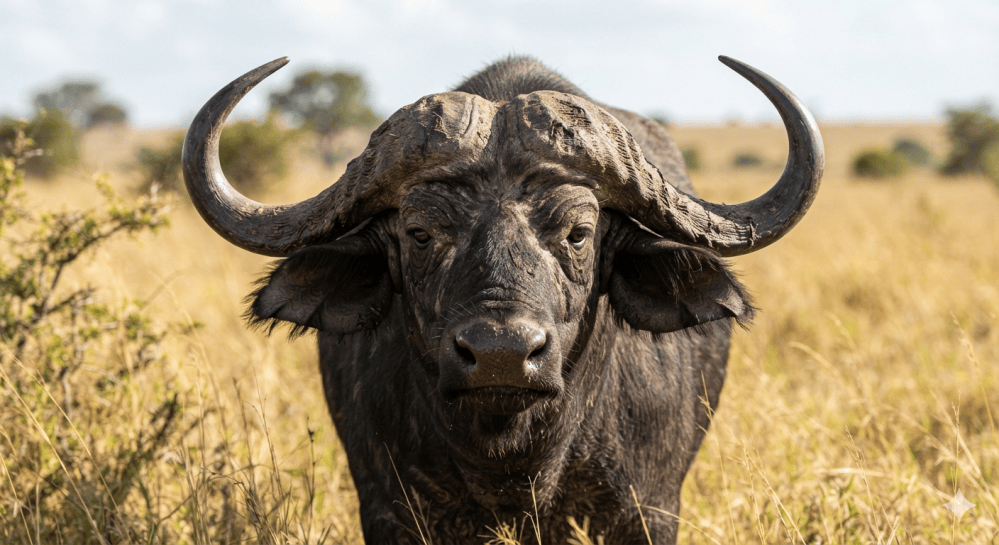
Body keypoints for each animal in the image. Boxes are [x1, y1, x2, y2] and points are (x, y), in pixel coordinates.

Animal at [183, 55, 823, 544]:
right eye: (420, 233)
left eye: (578, 233)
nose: (501, 355)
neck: (514, 460)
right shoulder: (389, 511)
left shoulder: (649, 510)